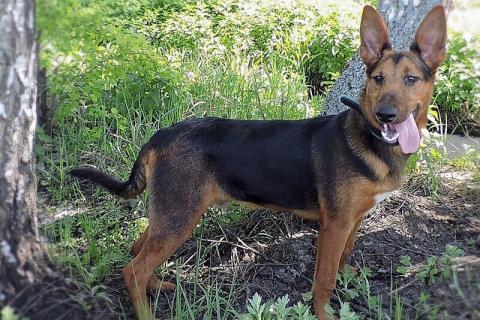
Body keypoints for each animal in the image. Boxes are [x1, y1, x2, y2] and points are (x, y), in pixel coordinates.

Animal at [70, 5, 446, 320]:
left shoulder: (352, 221)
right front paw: (325, 313)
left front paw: (348, 281)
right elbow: (323, 281)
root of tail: (159, 135)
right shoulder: (335, 224)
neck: (371, 139)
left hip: (170, 211)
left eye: (411, 79)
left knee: (137, 251)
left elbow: (343, 259)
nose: (386, 115)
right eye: (377, 79)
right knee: (133, 269)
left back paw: (157, 286)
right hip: (181, 215)